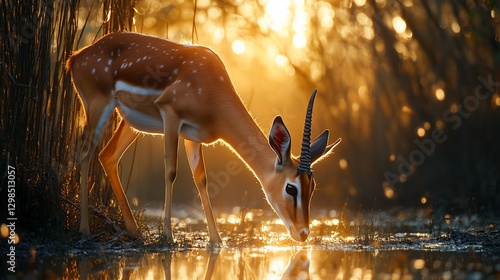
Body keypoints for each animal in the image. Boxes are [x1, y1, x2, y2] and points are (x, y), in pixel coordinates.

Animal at [65, 31, 340, 244]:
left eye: (312, 186)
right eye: (291, 188)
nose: (303, 233)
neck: (211, 89)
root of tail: (76, 58)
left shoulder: (193, 136)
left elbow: (201, 180)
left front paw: (217, 241)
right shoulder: (171, 116)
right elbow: (171, 171)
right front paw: (168, 237)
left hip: (131, 124)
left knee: (107, 156)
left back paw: (134, 232)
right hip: (98, 107)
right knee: (85, 154)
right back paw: (84, 230)